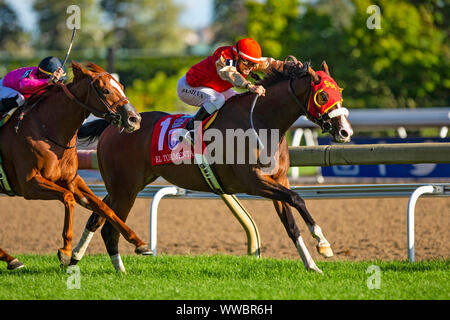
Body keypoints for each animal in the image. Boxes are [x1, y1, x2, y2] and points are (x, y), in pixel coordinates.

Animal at [0, 60, 151, 270]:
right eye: (105, 91)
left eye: (121, 86)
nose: (134, 119)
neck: (48, 129)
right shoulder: (29, 184)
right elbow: (68, 198)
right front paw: (65, 252)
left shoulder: (71, 179)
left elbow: (104, 208)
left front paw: (139, 243)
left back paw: (11, 259)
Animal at [74, 58, 354, 274]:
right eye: (323, 95)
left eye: (340, 92)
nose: (345, 131)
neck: (263, 122)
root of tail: (116, 124)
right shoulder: (254, 183)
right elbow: (298, 199)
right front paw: (323, 242)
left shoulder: (278, 180)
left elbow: (291, 224)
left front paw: (312, 264)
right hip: (126, 189)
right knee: (109, 227)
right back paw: (119, 269)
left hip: (123, 186)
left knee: (97, 217)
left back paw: (74, 257)